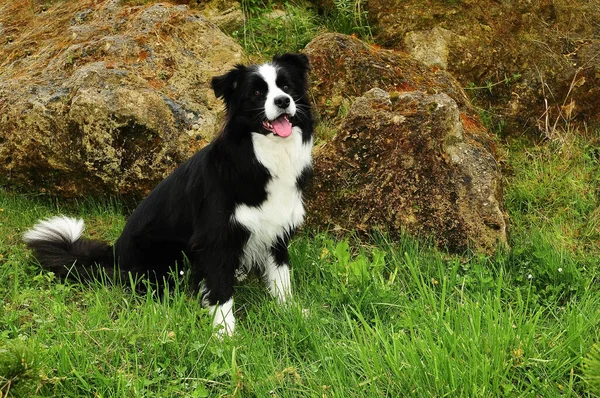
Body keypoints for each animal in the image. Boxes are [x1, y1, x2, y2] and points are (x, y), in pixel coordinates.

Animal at [23, 52, 314, 336]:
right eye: (256, 92)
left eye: (287, 86)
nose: (283, 101)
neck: (260, 156)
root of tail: (115, 254)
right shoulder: (214, 238)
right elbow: (220, 290)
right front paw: (224, 333)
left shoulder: (277, 230)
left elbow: (281, 278)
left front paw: (291, 313)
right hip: (168, 256)